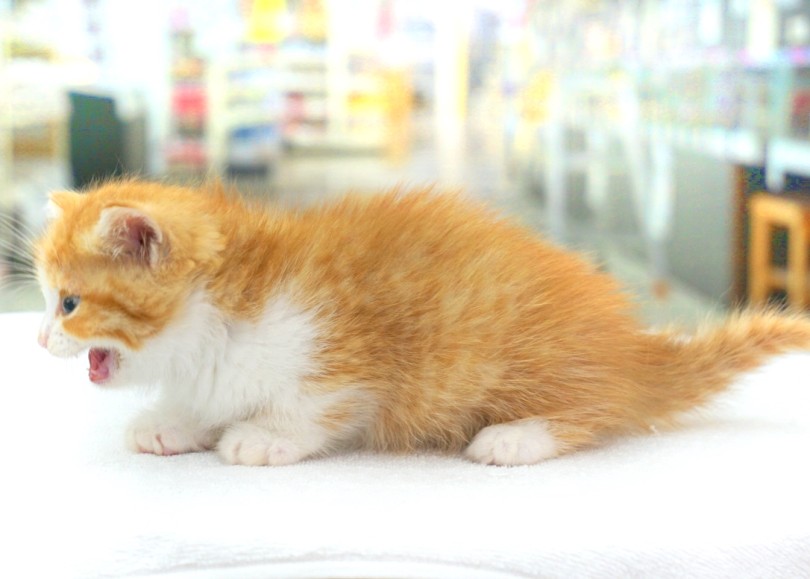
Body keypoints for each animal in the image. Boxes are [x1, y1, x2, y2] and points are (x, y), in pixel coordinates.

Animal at [34, 180, 808, 466]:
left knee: (598, 407)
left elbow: (311, 407)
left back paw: (516, 436)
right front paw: (173, 421)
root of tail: (632, 350)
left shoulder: (338, 356)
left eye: (68, 303)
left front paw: (261, 436)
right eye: (46, 300)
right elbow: (206, 397)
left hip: (519, 356)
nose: (38, 337)